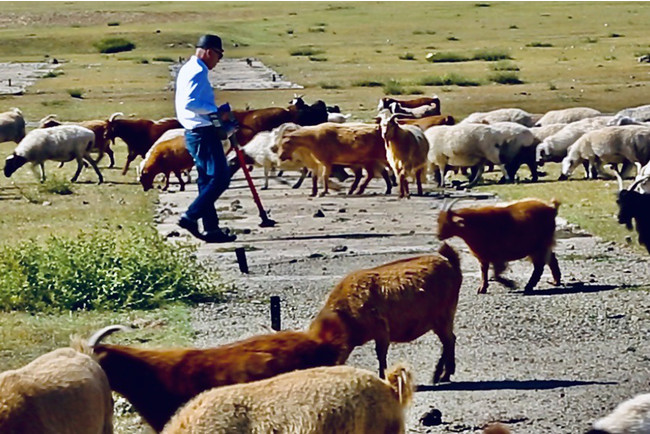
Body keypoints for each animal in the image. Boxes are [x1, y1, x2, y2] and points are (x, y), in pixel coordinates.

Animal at [308, 244, 460, 384]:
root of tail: (451, 263)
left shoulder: (381, 329)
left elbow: (381, 354)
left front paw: (382, 377)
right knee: (450, 340)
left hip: (443, 317)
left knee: (449, 341)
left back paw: (440, 376)